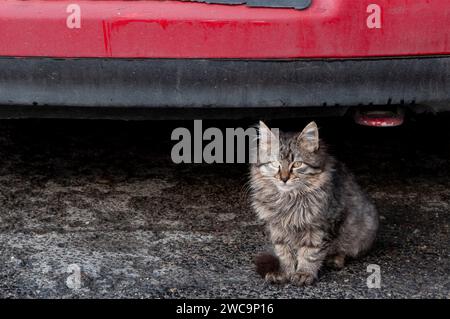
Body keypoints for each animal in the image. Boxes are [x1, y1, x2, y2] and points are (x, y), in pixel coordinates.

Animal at [251, 121, 378, 286]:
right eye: (274, 164)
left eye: (297, 164)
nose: (284, 178)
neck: (289, 199)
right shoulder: (277, 228)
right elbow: (284, 252)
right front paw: (285, 272)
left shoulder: (321, 226)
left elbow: (310, 253)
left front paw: (303, 273)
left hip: (363, 229)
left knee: (347, 251)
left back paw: (335, 259)